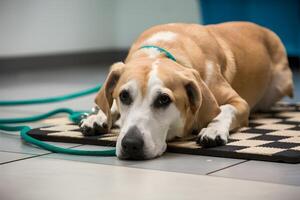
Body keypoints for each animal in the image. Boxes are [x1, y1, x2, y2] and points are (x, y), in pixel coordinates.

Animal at [79, 21, 292, 159]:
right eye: (124, 96)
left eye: (164, 99)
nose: (131, 144)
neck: (161, 51)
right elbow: (110, 106)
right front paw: (97, 116)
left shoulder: (239, 102)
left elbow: (223, 111)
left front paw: (213, 130)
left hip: (281, 84)